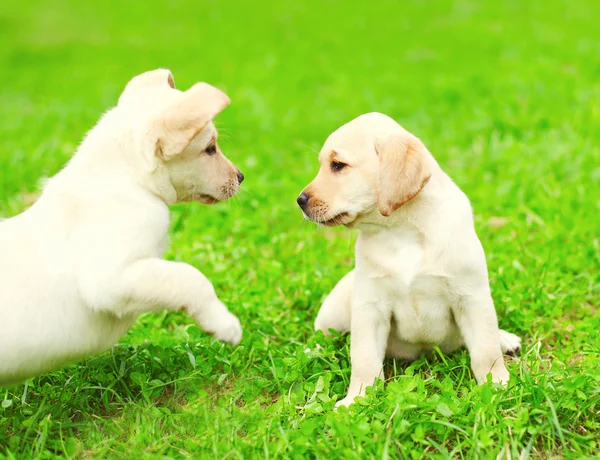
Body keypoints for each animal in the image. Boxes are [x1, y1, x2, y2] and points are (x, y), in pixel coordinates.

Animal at [0, 68, 244, 384]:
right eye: (210, 149)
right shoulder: (110, 280)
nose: (240, 177)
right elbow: (189, 278)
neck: (127, 179)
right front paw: (225, 324)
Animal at [298, 113, 524, 408]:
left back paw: (504, 338)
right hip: (336, 310)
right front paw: (357, 399)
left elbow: (486, 351)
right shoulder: (371, 306)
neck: (401, 231)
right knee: (322, 334)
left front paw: (498, 385)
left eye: (338, 165)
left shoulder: (470, 297)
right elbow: (364, 360)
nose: (300, 200)